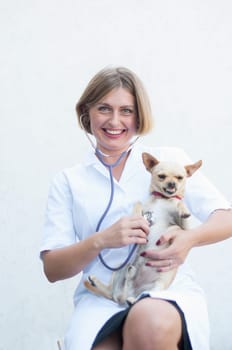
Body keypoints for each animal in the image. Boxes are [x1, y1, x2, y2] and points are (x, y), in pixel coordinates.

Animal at [84, 152, 202, 304]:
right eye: (162, 176)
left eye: (179, 178)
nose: (172, 183)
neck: (162, 199)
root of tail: (130, 292)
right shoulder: (144, 208)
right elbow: (138, 203)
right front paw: (136, 214)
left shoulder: (184, 229)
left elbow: (179, 210)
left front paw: (183, 209)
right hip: (119, 268)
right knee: (111, 293)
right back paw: (100, 281)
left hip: (157, 286)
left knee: (140, 296)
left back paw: (132, 299)